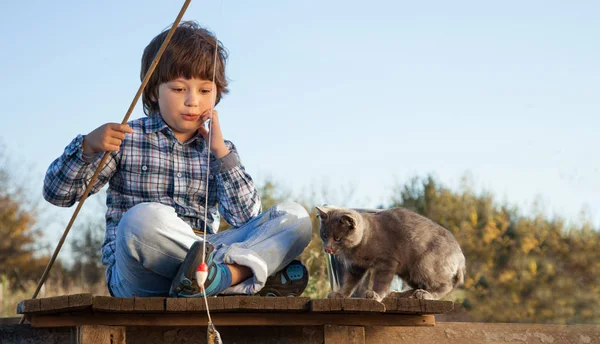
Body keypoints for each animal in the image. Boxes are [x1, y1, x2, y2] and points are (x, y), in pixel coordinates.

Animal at [316, 206, 466, 302]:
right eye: (324, 235)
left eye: (337, 238)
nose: (327, 248)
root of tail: (460, 257)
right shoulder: (357, 266)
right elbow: (349, 281)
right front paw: (340, 295)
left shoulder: (387, 262)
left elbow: (381, 281)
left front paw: (376, 295)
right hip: (409, 271)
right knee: (419, 285)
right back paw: (400, 294)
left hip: (424, 264)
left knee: (445, 285)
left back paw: (426, 295)